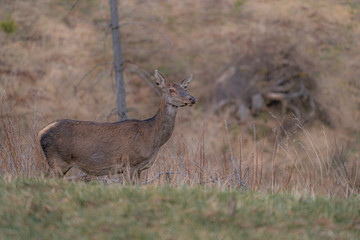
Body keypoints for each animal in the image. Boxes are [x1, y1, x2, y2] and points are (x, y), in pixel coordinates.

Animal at [38, 70, 195, 183]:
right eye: (171, 90)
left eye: (185, 88)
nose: (191, 98)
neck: (153, 139)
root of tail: (41, 132)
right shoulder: (130, 164)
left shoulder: (139, 169)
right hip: (58, 161)